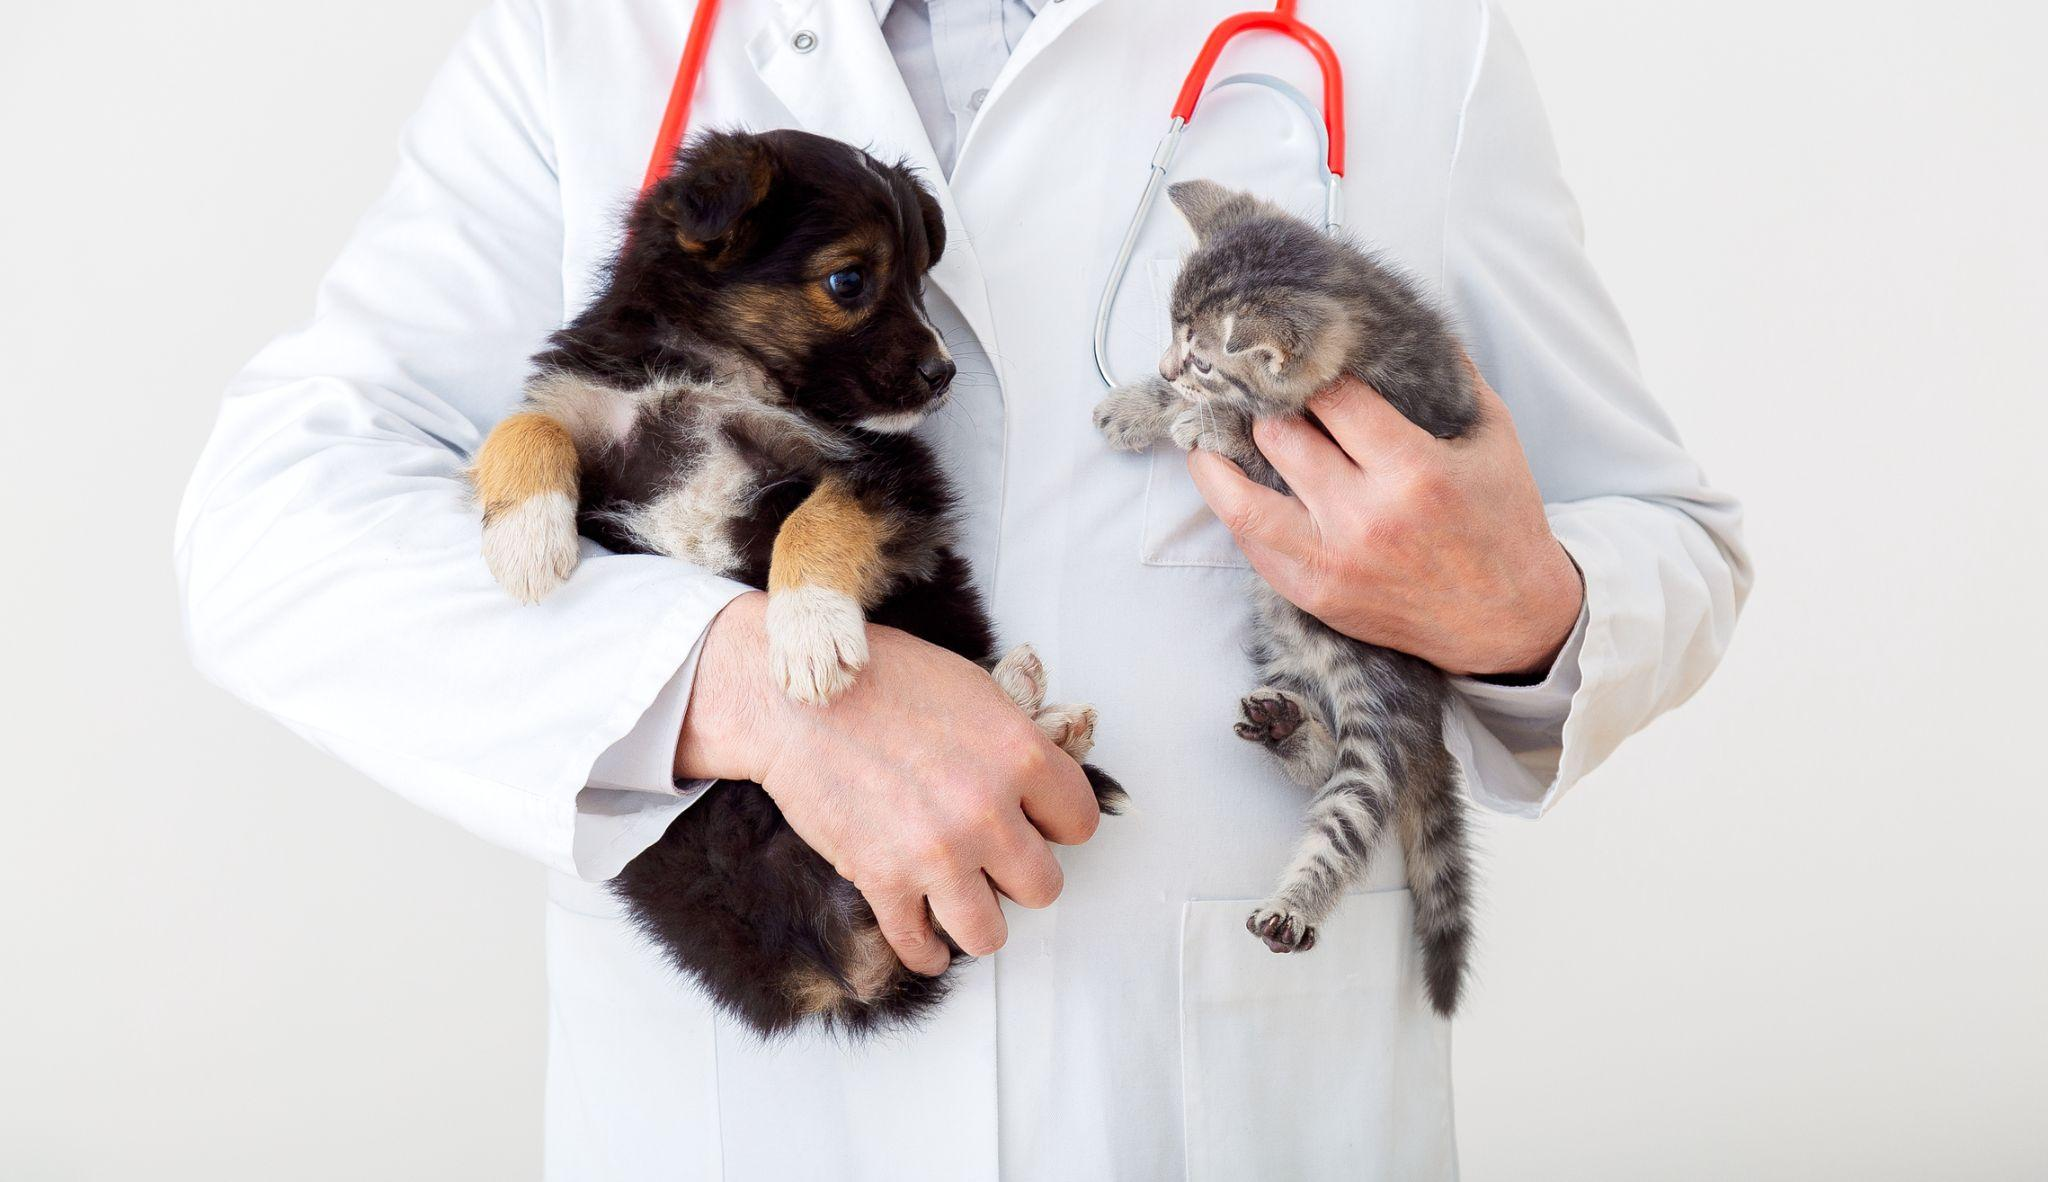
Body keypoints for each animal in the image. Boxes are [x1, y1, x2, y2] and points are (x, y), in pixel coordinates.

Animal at [471, 131, 1130, 1032]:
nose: (944, 373)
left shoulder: (884, 475)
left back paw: (1038, 711)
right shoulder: (597, 406)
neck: (720, 372)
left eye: (921, 280)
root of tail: (842, 972)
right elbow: (529, 420)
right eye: (849, 281)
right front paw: (527, 537)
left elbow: (815, 519)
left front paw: (811, 634)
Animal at [1097, 175, 1482, 1016]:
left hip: (1379, 696)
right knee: (1319, 749)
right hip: (1281, 638)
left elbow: (1256, 441)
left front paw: (1208, 423)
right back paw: (1287, 728)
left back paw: (1298, 904)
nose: (1168, 370)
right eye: (1170, 329)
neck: (1366, 309)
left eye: (1205, 360)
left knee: (1354, 799)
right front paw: (1140, 406)